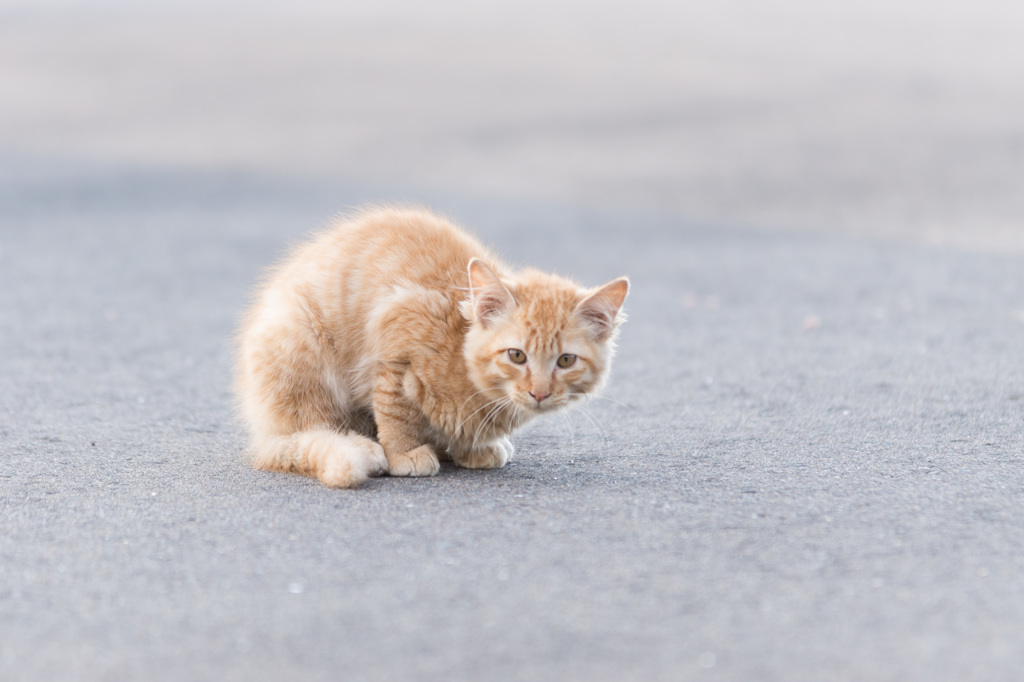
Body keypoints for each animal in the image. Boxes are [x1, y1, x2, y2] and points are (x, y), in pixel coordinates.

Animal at [235, 204, 626, 485]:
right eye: (517, 356)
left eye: (565, 361)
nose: (540, 393)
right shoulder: (396, 339)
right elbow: (396, 413)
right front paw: (403, 454)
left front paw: (475, 448)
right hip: (302, 351)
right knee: (309, 431)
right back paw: (364, 448)